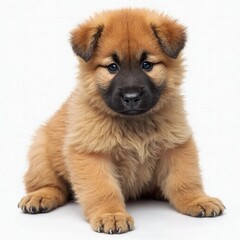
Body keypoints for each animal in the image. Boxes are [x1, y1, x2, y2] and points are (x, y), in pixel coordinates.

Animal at [18, 7, 225, 234]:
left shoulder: (177, 144)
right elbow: (103, 189)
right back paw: (40, 196)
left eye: (146, 65)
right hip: (40, 150)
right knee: (50, 183)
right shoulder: (91, 154)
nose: (131, 97)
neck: (133, 123)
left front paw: (197, 200)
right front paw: (111, 215)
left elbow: (185, 179)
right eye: (112, 67)